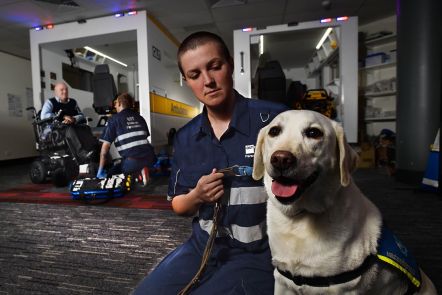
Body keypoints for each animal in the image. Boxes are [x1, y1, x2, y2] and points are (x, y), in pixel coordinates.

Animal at [252, 110, 436, 295]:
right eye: (274, 131)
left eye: (313, 133)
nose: (281, 159)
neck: (299, 219)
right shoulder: (282, 281)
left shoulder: (345, 289)